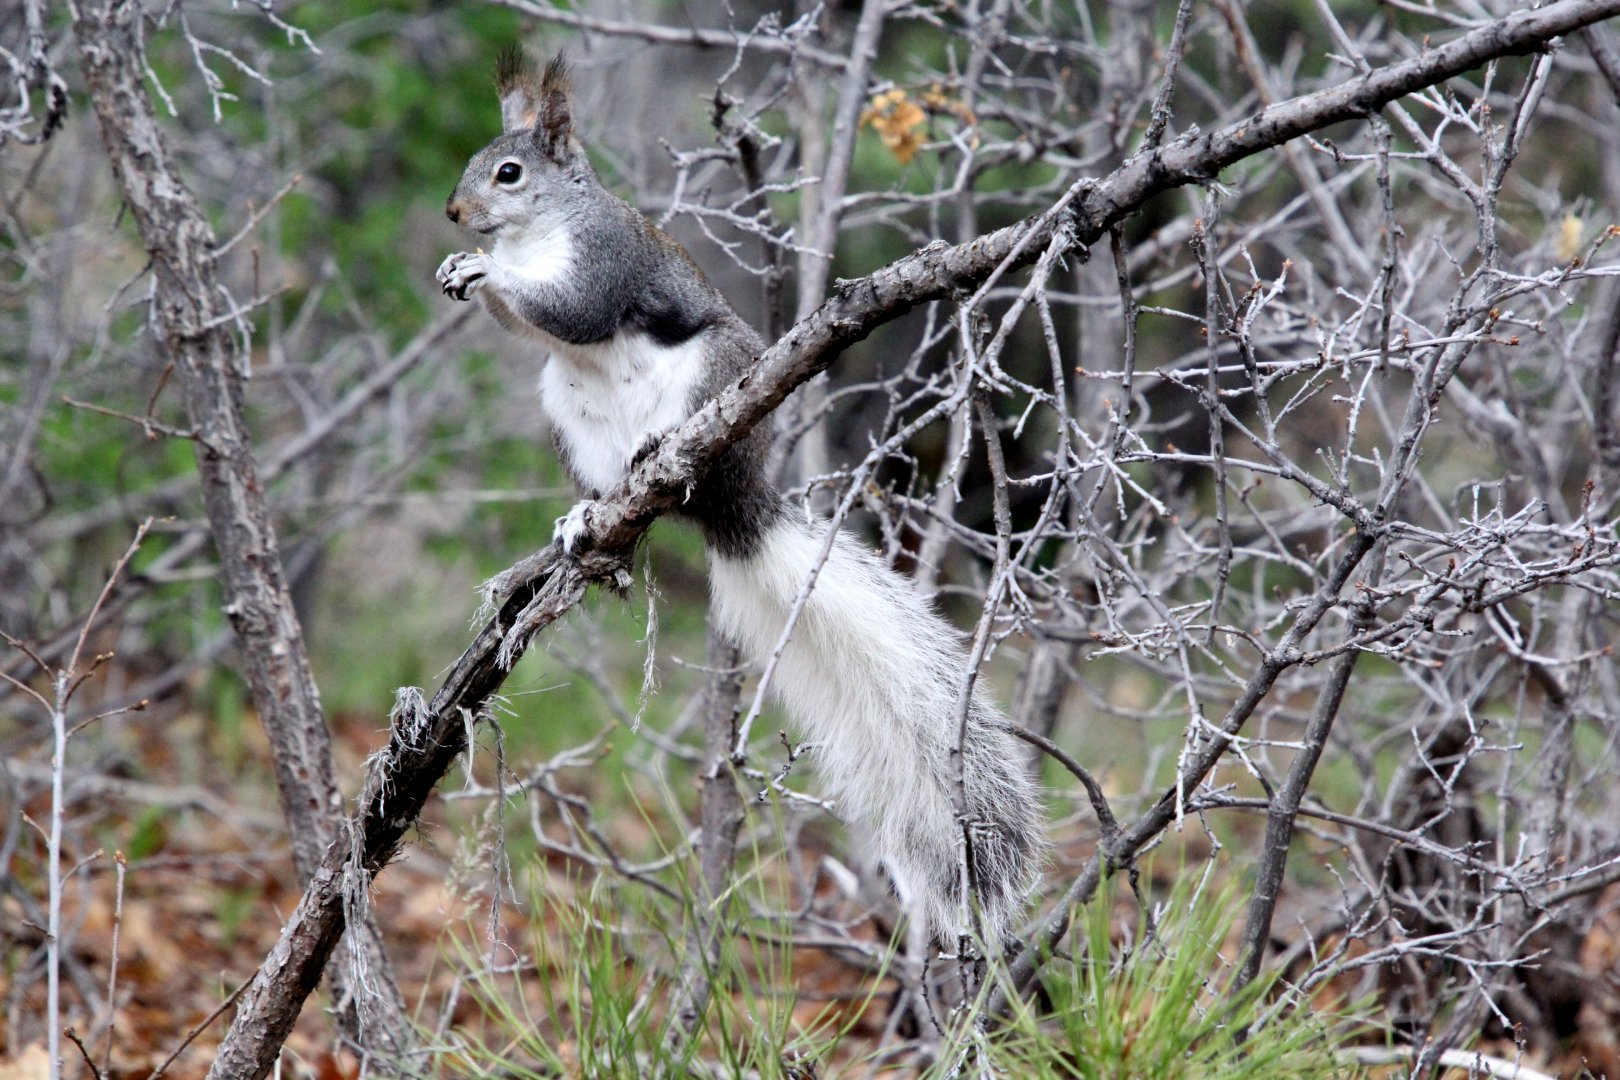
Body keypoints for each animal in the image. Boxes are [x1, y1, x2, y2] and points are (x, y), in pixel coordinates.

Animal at [436, 50, 1042, 946]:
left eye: (508, 173)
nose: (455, 213)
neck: (541, 231)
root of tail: (736, 501)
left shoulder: (609, 259)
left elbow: (571, 311)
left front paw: (487, 274)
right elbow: (534, 328)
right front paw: (464, 272)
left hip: (713, 380)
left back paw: (658, 451)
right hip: (567, 416)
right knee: (608, 497)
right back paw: (586, 514)